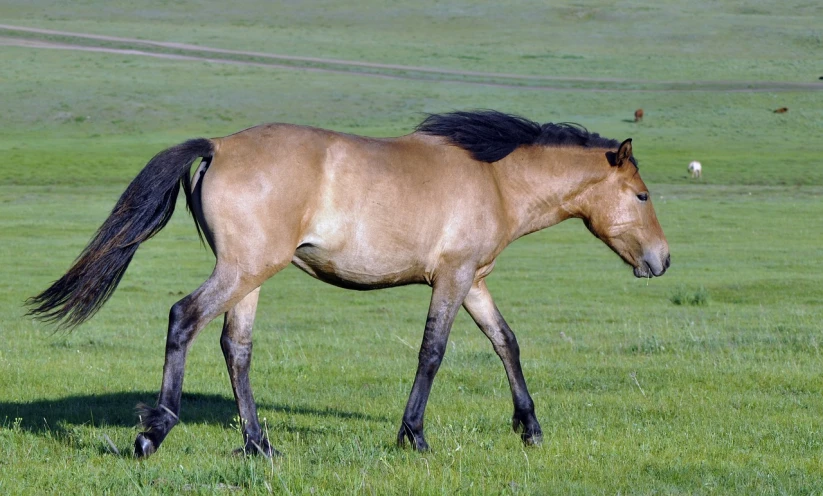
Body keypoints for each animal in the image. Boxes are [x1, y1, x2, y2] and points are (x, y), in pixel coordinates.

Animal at [27, 110, 668, 460]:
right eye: (641, 196)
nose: (661, 260)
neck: (495, 180)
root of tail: (221, 146)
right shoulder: (452, 278)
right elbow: (433, 352)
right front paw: (414, 436)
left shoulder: (473, 281)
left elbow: (505, 342)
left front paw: (529, 429)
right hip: (243, 270)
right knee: (184, 317)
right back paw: (155, 430)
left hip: (250, 276)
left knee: (237, 348)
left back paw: (259, 446)